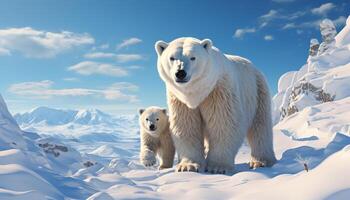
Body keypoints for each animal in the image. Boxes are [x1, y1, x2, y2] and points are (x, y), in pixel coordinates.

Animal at [155, 37, 276, 173]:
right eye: (172, 58)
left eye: (193, 57)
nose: (180, 73)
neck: (197, 93)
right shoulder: (180, 100)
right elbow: (186, 125)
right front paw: (188, 166)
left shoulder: (219, 90)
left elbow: (224, 123)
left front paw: (218, 167)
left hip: (257, 91)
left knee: (260, 126)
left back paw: (260, 161)